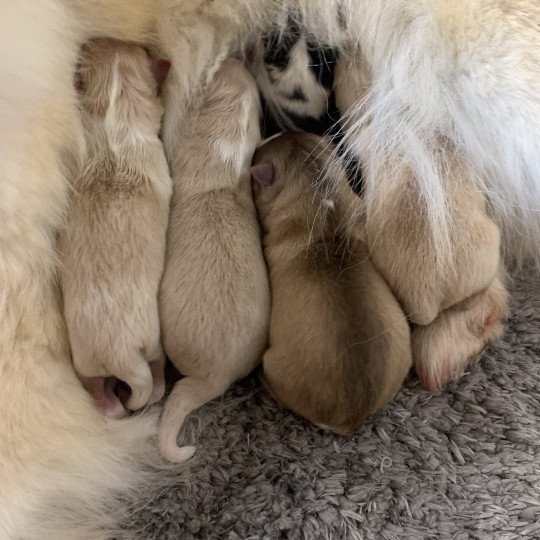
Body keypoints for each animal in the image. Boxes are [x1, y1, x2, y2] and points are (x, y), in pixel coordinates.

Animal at [58, 38, 171, 418]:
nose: (90, 39)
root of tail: (121, 355)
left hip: (87, 362)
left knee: (102, 393)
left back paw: (111, 403)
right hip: (151, 343)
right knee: (154, 378)